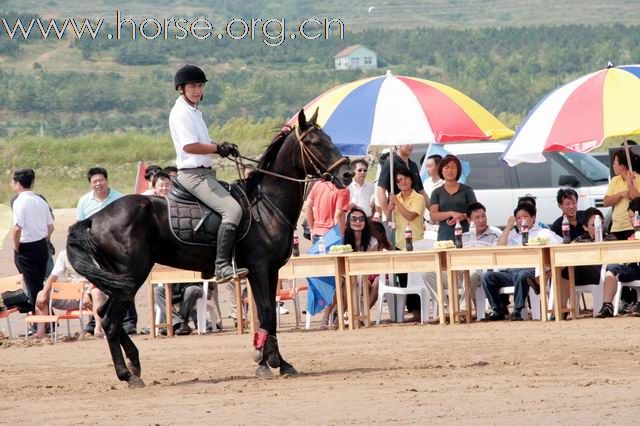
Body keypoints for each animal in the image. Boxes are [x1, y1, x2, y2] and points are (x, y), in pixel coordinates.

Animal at [67, 109, 352, 386]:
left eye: (329, 138)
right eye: (316, 142)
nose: (347, 174)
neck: (266, 204)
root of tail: (94, 218)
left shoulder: (271, 271)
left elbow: (267, 314)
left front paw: (278, 363)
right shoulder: (259, 268)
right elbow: (267, 313)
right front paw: (266, 362)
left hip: (119, 280)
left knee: (104, 314)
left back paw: (134, 365)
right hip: (131, 275)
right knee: (110, 321)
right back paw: (127, 375)